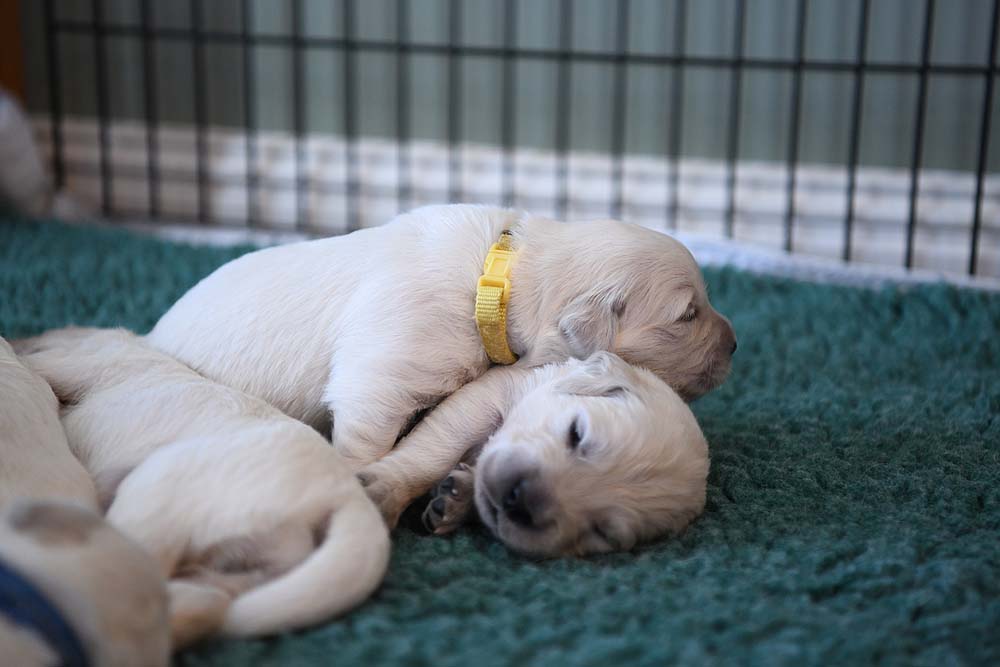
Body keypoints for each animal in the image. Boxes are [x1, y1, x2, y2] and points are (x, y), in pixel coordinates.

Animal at [16, 328, 390, 648]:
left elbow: (45, 366)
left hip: (155, 491)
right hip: (270, 551)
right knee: (220, 593)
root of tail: (348, 494)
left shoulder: (82, 363)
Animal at [356, 352, 708, 560]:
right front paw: (384, 490)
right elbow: (438, 446)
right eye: (577, 432)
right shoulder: (489, 394)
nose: (518, 501)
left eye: (602, 532)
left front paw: (456, 498)